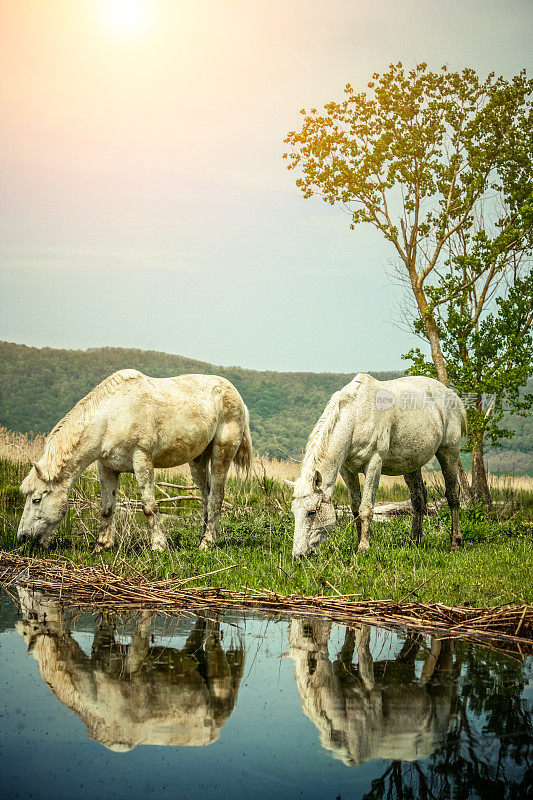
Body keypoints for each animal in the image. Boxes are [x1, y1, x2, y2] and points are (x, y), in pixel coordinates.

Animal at [18, 368, 251, 552]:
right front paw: (102, 545)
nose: (22, 537)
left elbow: (149, 506)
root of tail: (237, 396)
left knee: (216, 498)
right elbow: (106, 508)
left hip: (222, 453)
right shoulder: (107, 467)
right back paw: (203, 537)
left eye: (36, 499)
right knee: (206, 497)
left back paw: (206, 543)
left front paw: (158, 546)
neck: (111, 417)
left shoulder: (142, 460)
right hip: (198, 460)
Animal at [290, 374, 466, 556]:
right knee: (419, 499)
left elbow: (366, 508)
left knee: (453, 495)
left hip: (448, 452)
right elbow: (355, 508)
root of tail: (451, 394)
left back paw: (455, 542)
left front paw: (363, 548)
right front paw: (358, 543)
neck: (357, 416)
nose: (298, 555)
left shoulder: (374, 464)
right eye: (294, 512)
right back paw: (413, 542)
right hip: (411, 464)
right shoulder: (347, 470)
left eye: (311, 512)